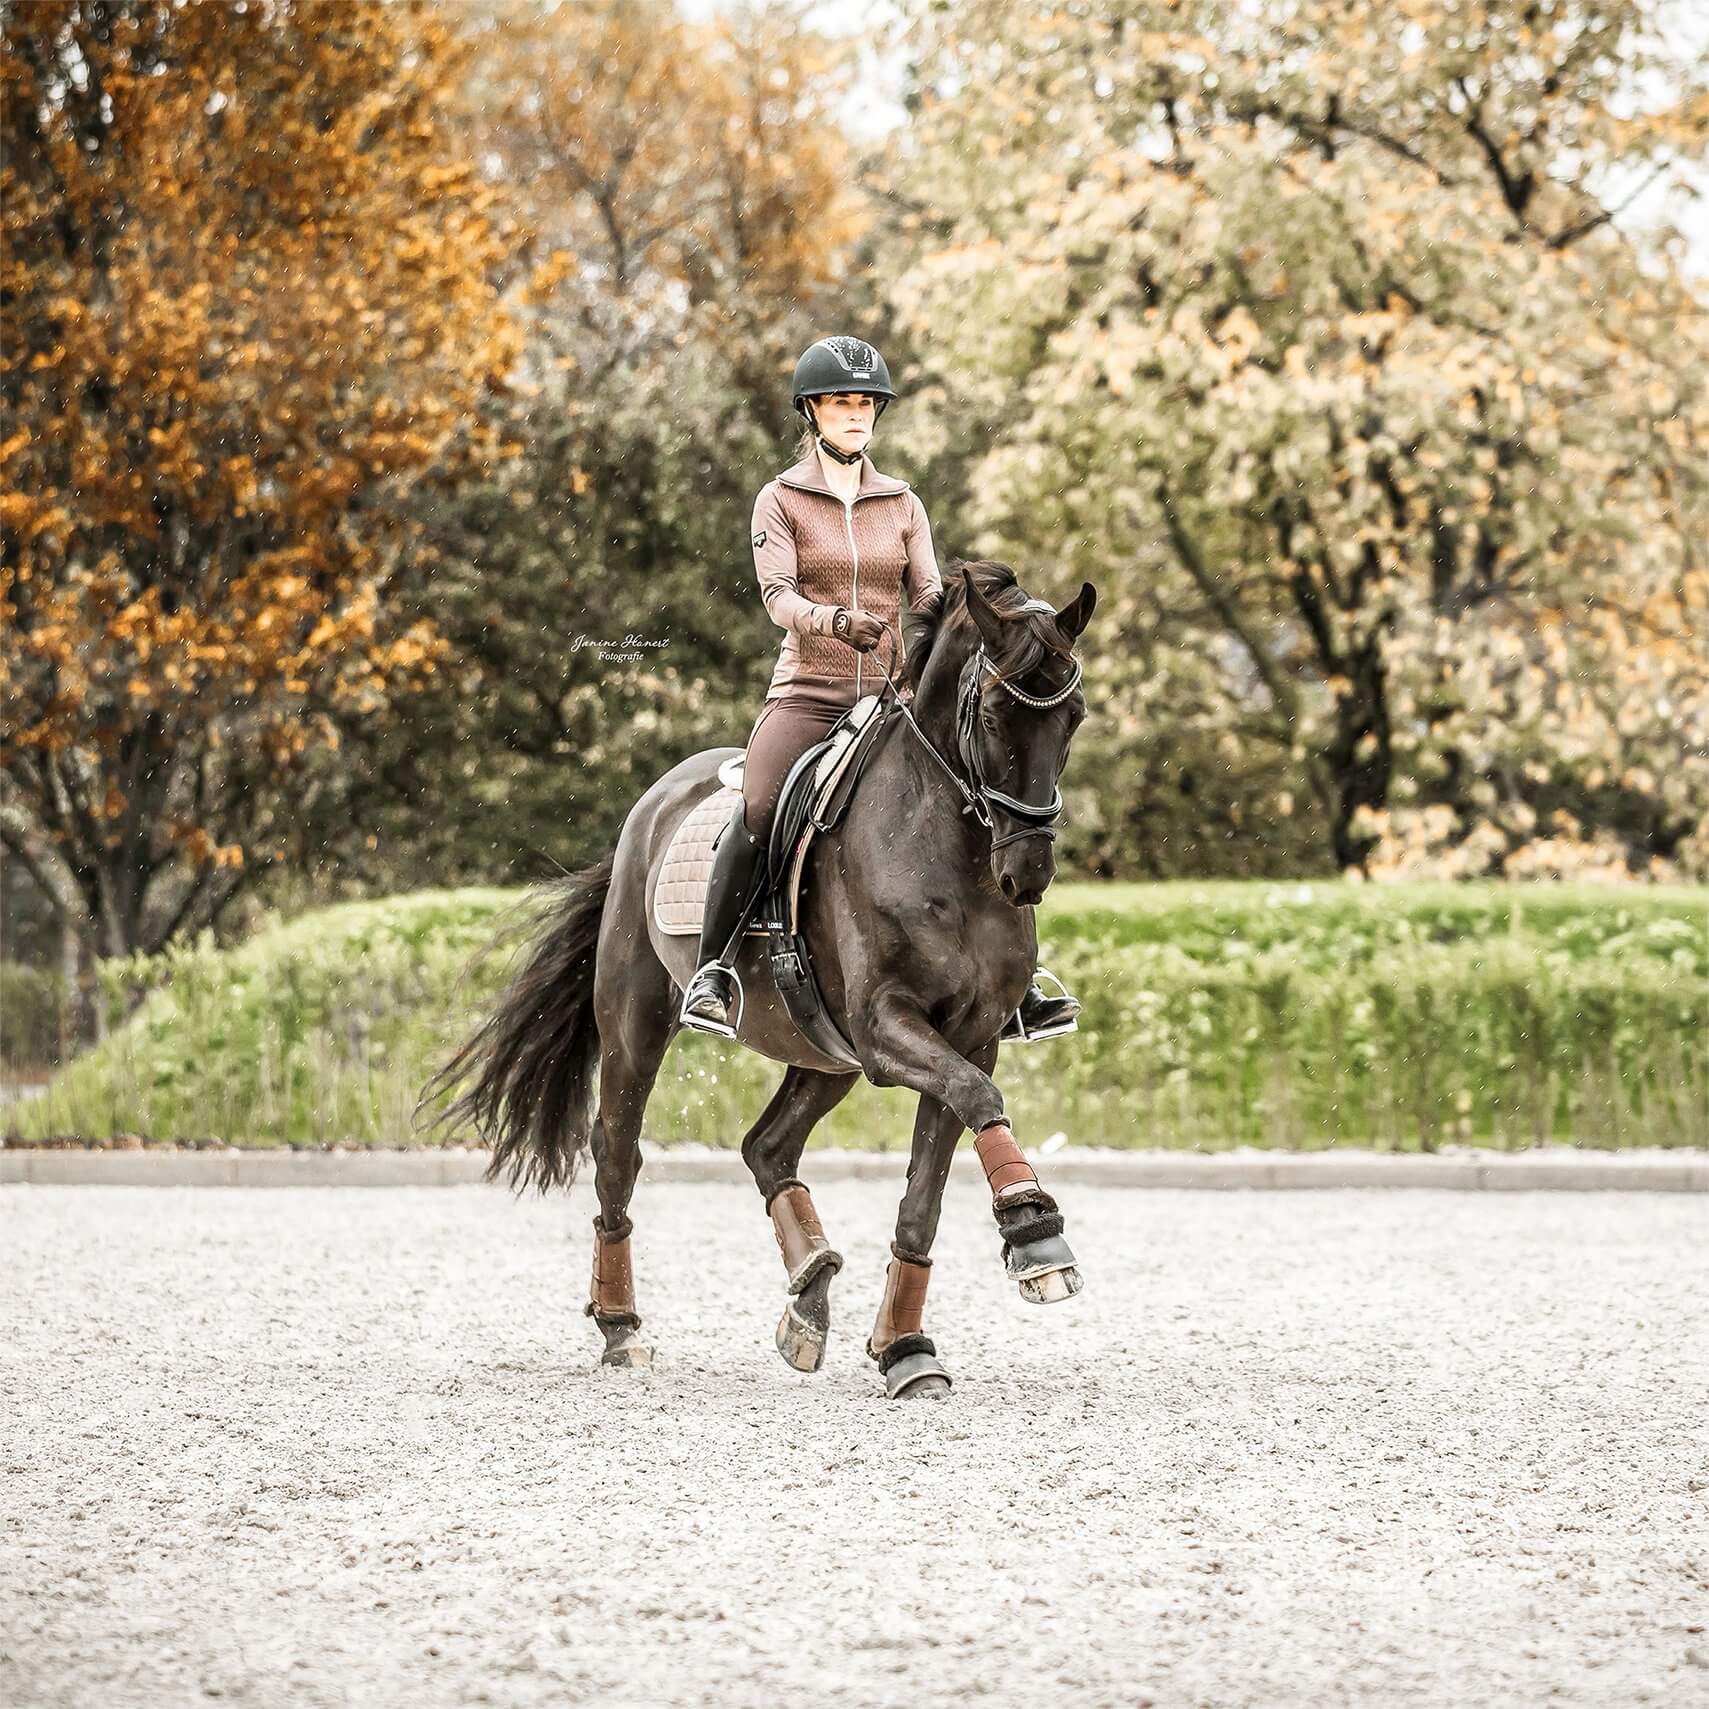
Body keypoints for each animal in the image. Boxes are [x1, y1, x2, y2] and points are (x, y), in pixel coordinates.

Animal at [422, 563, 1100, 1401]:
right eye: (999, 713)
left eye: (1072, 716)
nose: (1027, 872)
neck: (949, 849)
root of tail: (650, 806)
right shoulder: (887, 1025)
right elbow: (978, 1099)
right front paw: (1035, 1232)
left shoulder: (968, 1035)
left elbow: (928, 1187)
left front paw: (906, 1349)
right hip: (639, 1023)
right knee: (617, 1150)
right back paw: (622, 1328)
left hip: (824, 1052)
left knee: (766, 1147)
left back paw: (809, 1294)